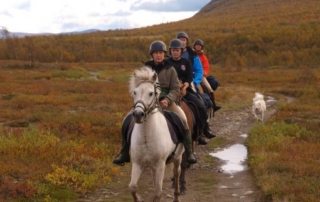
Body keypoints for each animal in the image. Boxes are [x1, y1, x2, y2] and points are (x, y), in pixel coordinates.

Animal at [127, 66, 184, 202]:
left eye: (151, 93)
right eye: (135, 92)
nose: (138, 114)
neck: (146, 137)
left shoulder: (160, 164)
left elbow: (158, 192)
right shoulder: (137, 163)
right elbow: (132, 187)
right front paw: (139, 199)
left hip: (177, 157)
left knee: (177, 173)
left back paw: (176, 197)